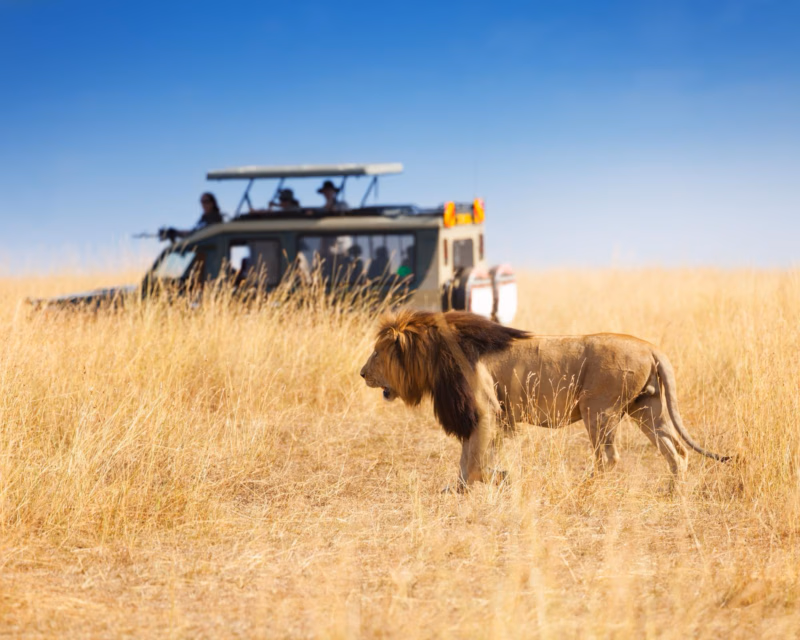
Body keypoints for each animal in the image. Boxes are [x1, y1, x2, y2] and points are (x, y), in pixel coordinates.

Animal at [360, 310, 730, 488]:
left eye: (377, 352)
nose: (362, 373)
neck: (435, 354)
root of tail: (651, 347)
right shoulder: (487, 416)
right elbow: (468, 460)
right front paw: (461, 489)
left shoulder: (485, 410)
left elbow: (475, 462)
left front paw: (500, 479)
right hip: (646, 409)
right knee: (677, 451)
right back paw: (672, 493)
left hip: (599, 409)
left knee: (609, 457)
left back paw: (583, 487)